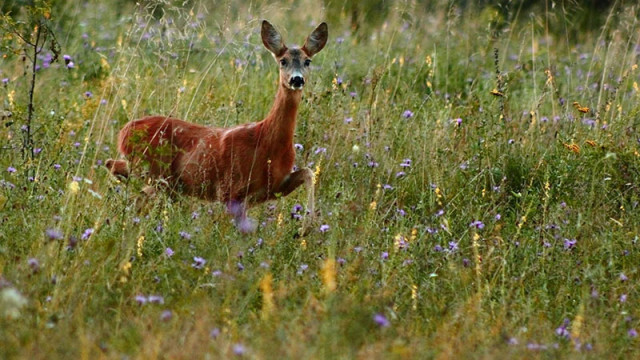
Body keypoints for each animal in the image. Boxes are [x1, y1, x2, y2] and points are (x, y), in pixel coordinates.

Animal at [105, 20, 328, 233]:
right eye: (283, 61)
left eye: (307, 61)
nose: (297, 79)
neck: (267, 142)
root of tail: (124, 131)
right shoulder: (230, 189)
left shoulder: (274, 187)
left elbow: (308, 172)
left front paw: (306, 228)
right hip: (156, 171)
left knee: (118, 172)